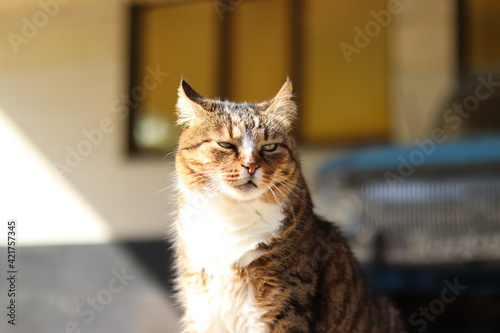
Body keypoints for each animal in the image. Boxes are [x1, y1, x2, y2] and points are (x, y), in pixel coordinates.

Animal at [172, 78, 402, 332]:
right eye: (225, 145)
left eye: (269, 147)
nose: (251, 166)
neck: (230, 217)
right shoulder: (200, 311)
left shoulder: (283, 310)